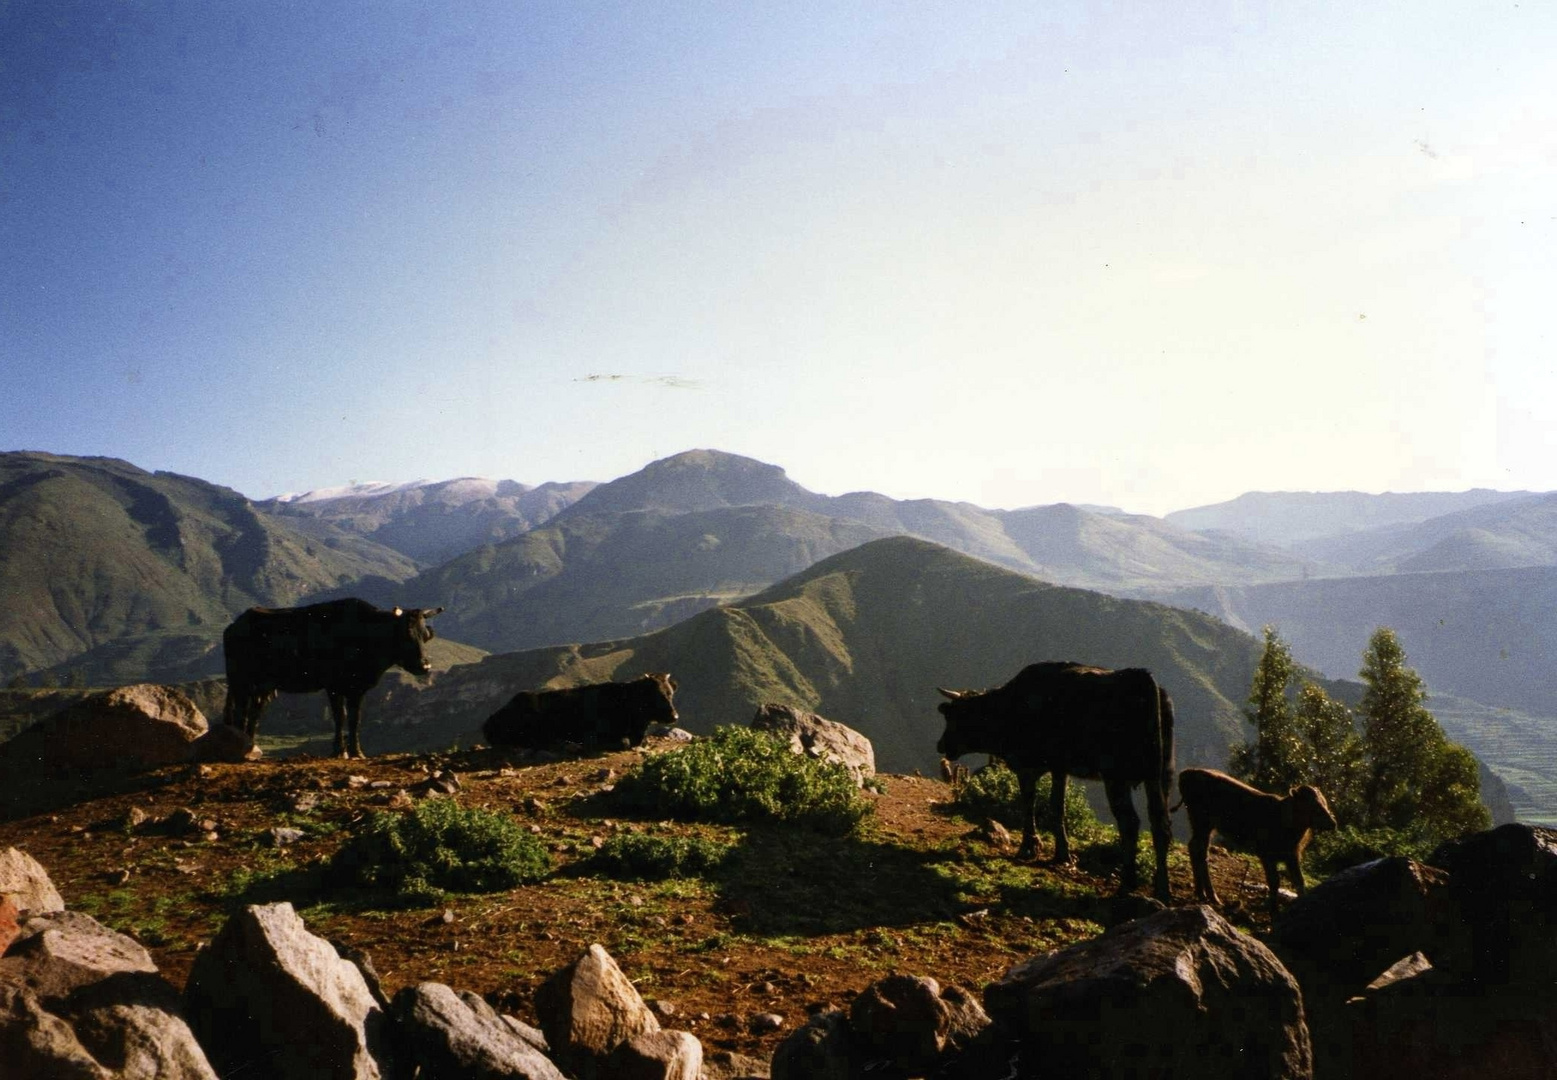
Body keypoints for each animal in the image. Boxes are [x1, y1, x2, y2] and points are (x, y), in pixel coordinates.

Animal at [217, 600, 445, 762]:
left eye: (426, 635)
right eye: (407, 635)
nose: (425, 666)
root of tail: (235, 625)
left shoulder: (357, 688)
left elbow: (355, 719)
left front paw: (356, 751)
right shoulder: (334, 686)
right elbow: (340, 717)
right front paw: (339, 751)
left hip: (262, 686)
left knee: (254, 714)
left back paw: (252, 747)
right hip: (240, 681)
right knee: (241, 713)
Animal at [934, 659, 1177, 902]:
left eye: (954, 717)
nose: (940, 745)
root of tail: (1142, 677)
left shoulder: (1026, 765)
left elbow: (1029, 803)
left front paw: (1028, 846)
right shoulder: (1060, 768)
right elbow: (1057, 807)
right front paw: (1062, 854)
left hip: (1115, 776)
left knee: (1130, 823)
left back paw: (1127, 883)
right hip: (1161, 776)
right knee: (1161, 825)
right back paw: (1162, 890)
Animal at [1177, 765, 1339, 915]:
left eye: (1325, 802)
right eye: (1313, 806)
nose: (1333, 823)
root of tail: (1185, 773)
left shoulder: (1292, 855)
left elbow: (1299, 881)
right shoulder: (1265, 853)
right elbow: (1274, 881)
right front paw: (1274, 912)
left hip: (1204, 825)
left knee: (1199, 849)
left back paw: (1205, 894)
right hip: (1200, 820)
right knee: (1197, 848)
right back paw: (1207, 895)